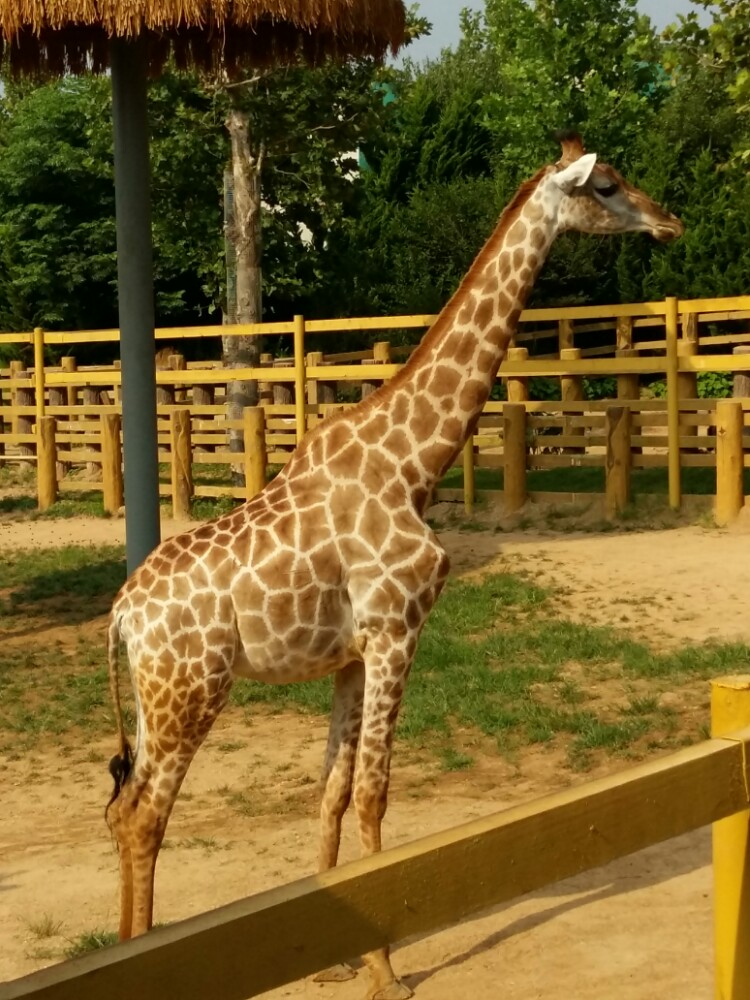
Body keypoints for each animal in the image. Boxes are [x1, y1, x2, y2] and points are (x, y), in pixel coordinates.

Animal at [107, 135, 688, 1000]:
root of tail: (121, 616)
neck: (413, 461)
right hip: (192, 691)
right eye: (609, 186)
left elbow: (332, 794)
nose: (670, 220)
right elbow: (376, 796)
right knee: (147, 818)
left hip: (155, 699)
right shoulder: (396, 632)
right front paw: (386, 971)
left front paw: (336, 959)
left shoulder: (352, 655)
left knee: (122, 811)